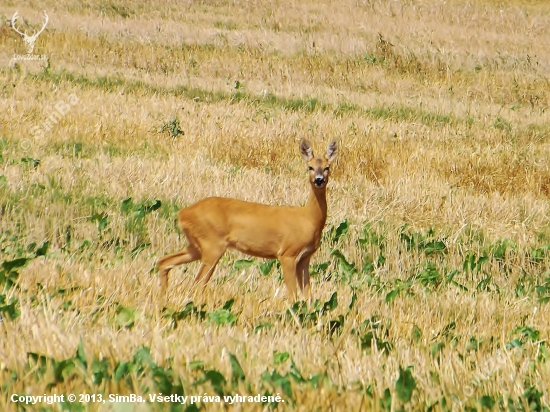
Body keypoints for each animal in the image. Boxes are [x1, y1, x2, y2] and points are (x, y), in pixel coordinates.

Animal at [157, 139, 338, 300]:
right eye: (310, 167)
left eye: (327, 167)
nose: (319, 180)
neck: (308, 219)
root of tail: (182, 214)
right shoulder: (288, 253)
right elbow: (292, 296)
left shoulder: (305, 258)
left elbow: (308, 297)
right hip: (212, 245)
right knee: (197, 284)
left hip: (197, 245)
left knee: (164, 261)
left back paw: (162, 301)